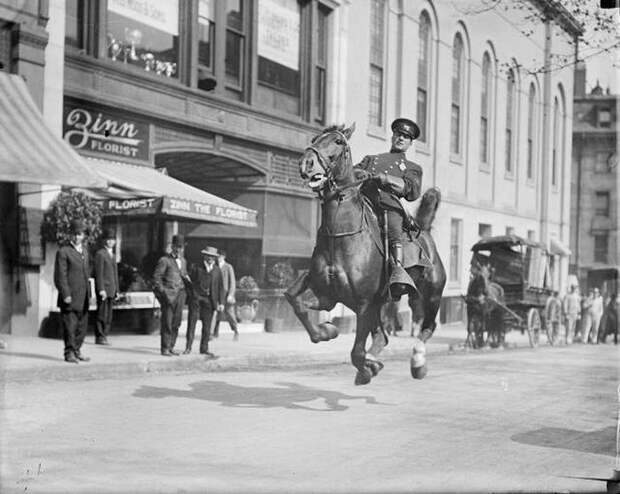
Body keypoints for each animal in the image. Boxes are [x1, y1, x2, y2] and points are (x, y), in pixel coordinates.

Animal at [284, 124, 448, 386]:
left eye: (338, 141)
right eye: (315, 138)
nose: (306, 164)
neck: (340, 237)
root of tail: (424, 230)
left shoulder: (363, 304)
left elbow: (356, 352)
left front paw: (367, 367)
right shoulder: (326, 293)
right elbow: (294, 299)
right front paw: (327, 331)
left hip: (430, 295)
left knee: (427, 327)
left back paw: (417, 362)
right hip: (380, 304)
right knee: (382, 336)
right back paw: (375, 361)